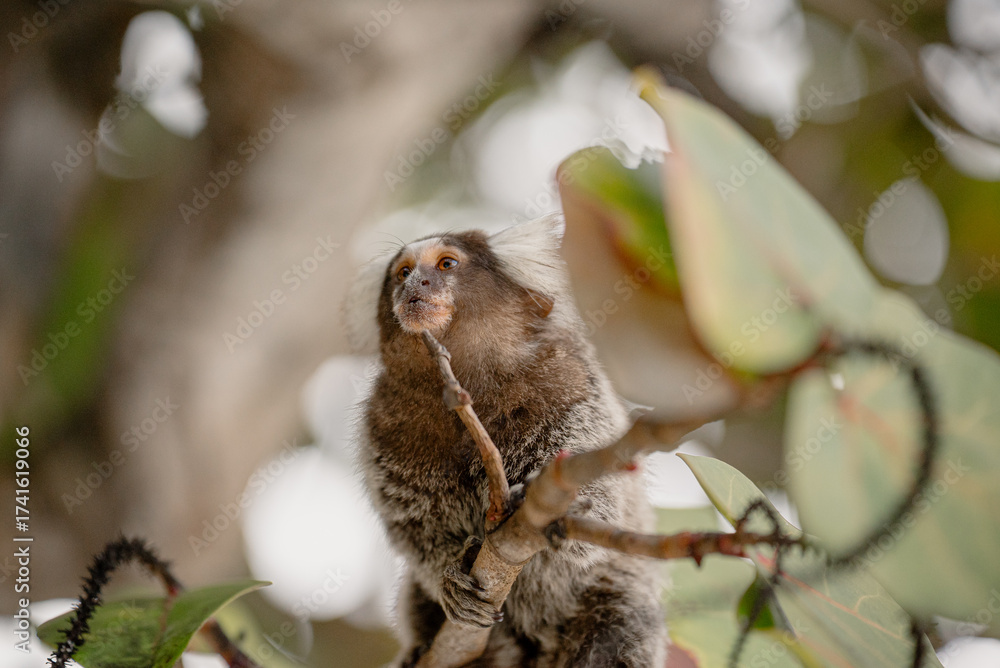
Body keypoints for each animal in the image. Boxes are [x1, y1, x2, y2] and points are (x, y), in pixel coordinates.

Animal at [346, 214, 667, 667]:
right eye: (403, 272)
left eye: (446, 264)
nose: (415, 285)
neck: (468, 387)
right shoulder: (384, 423)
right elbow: (417, 530)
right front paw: (449, 576)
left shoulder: (572, 387)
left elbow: (596, 509)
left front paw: (545, 503)